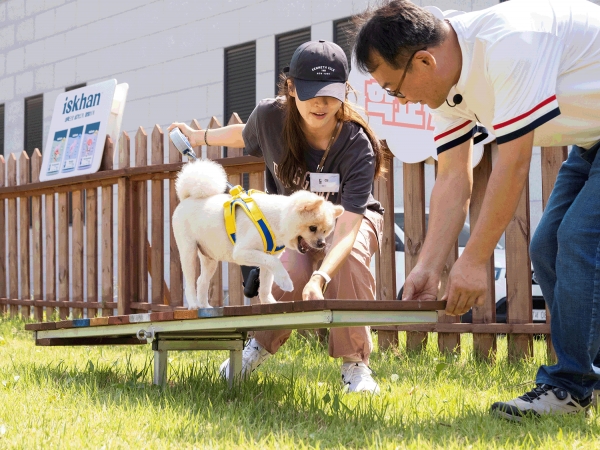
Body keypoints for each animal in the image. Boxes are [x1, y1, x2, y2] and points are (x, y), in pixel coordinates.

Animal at [171, 160, 344, 312]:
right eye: (312, 228)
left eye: (325, 231)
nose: (322, 243)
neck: (278, 220)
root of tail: (187, 197)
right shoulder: (242, 253)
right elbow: (274, 264)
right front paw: (285, 281)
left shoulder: (267, 255)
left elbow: (266, 283)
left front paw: (268, 302)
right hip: (188, 251)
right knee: (190, 281)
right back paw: (194, 304)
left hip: (210, 258)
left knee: (201, 280)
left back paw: (204, 306)